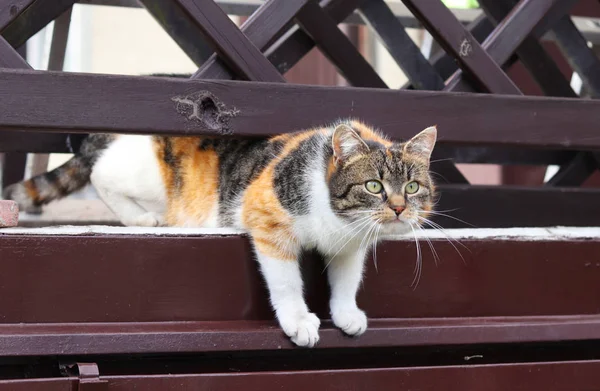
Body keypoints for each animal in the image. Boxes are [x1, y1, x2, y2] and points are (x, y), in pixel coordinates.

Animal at [3, 121, 436, 348]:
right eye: (374, 186)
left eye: (413, 187)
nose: (399, 208)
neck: (335, 219)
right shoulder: (266, 219)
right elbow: (285, 281)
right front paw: (299, 321)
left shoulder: (351, 244)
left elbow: (346, 278)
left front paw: (347, 313)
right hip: (148, 175)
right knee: (99, 174)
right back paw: (144, 218)